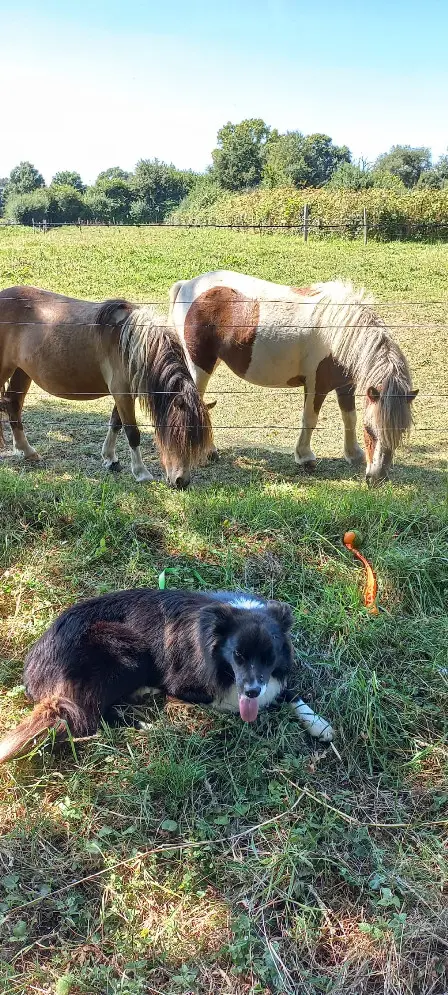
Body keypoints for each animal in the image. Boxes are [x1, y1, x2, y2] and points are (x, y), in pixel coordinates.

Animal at [0, 286, 212, 488]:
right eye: (177, 436)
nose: (181, 481)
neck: (134, 344)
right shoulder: (122, 392)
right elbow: (132, 432)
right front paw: (141, 472)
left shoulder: (126, 394)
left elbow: (116, 422)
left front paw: (110, 459)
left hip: (22, 371)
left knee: (13, 405)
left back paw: (27, 451)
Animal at [0, 584, 332, 764]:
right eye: (238, 656)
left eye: (269, 657)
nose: (251, 691)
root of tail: (35, 670)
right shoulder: (189, 685)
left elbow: (288, 691)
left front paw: (319, 723)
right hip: (124, 648)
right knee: (91, 718)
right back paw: (145, 722)